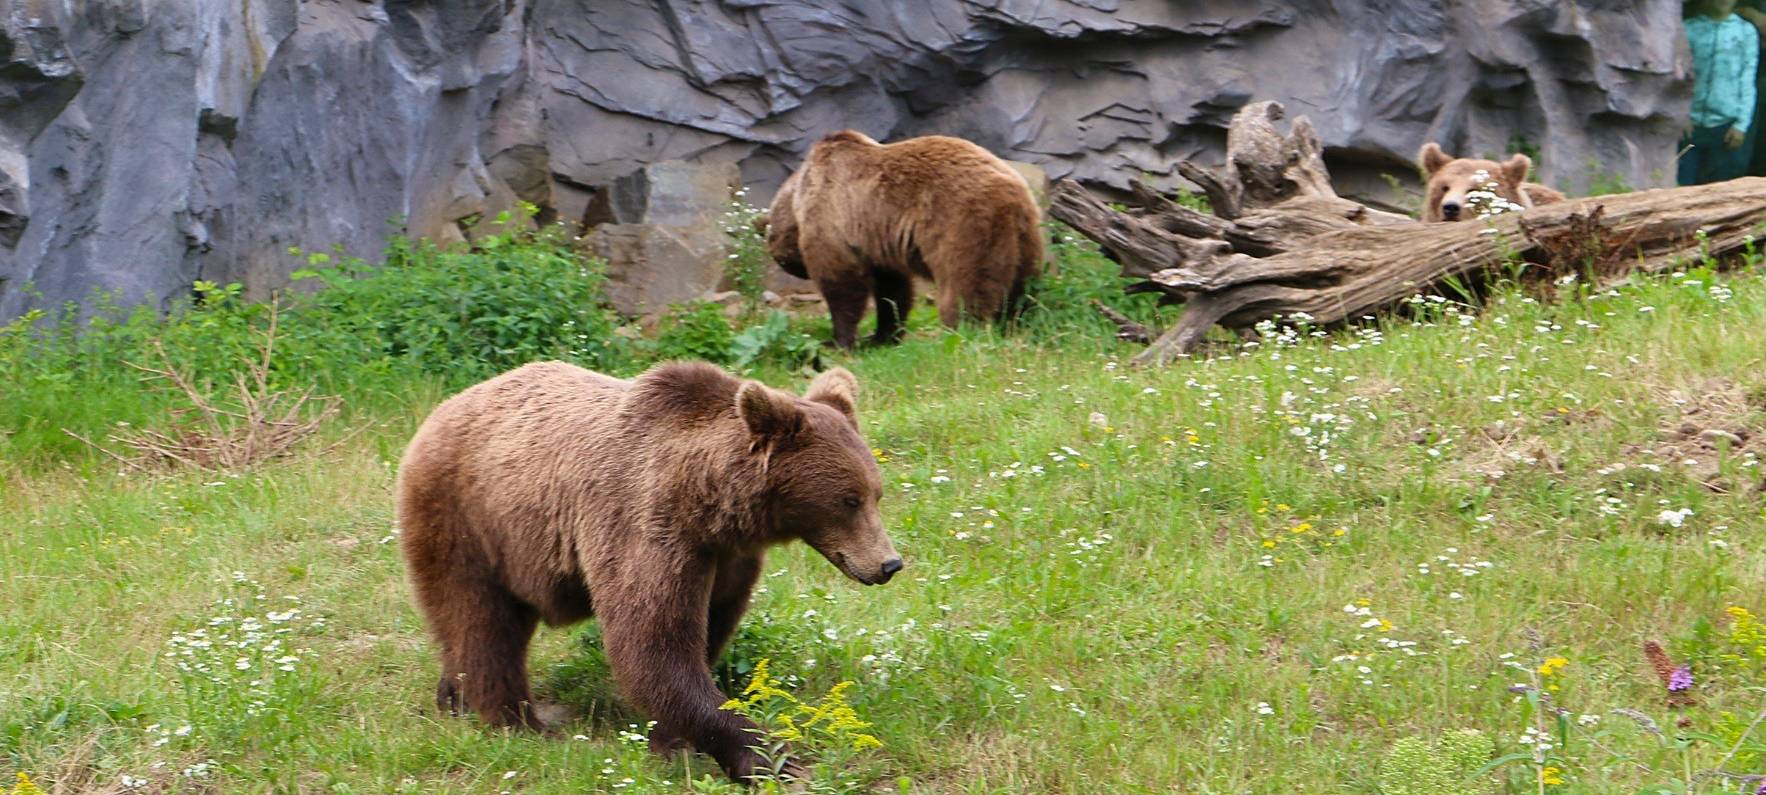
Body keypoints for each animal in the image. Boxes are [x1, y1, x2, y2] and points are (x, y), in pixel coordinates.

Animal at [396, 360, 901, 782]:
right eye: (849, 499)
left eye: (876, 493)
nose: (889, 563)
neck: (708, 503)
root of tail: (442, 409)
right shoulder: (645, 525)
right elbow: (653, 644)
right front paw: (769, 756)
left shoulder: (726, 559)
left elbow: (707, 631)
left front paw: (671, 741)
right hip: (467, 519)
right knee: (481, 621)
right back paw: (517, 722)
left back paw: (453, 697)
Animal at [765, 130, 1043, 349]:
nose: (794, 268)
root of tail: (1010, 193)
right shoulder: (876, 240)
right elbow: (892, 290)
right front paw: (882, 336)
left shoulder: (832, 218)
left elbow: (842, 283)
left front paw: (838, 341)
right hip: (1025, 236)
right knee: (1024, 287)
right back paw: (1019, 322)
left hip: (962, 224)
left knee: (965, 287)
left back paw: (959, 333)